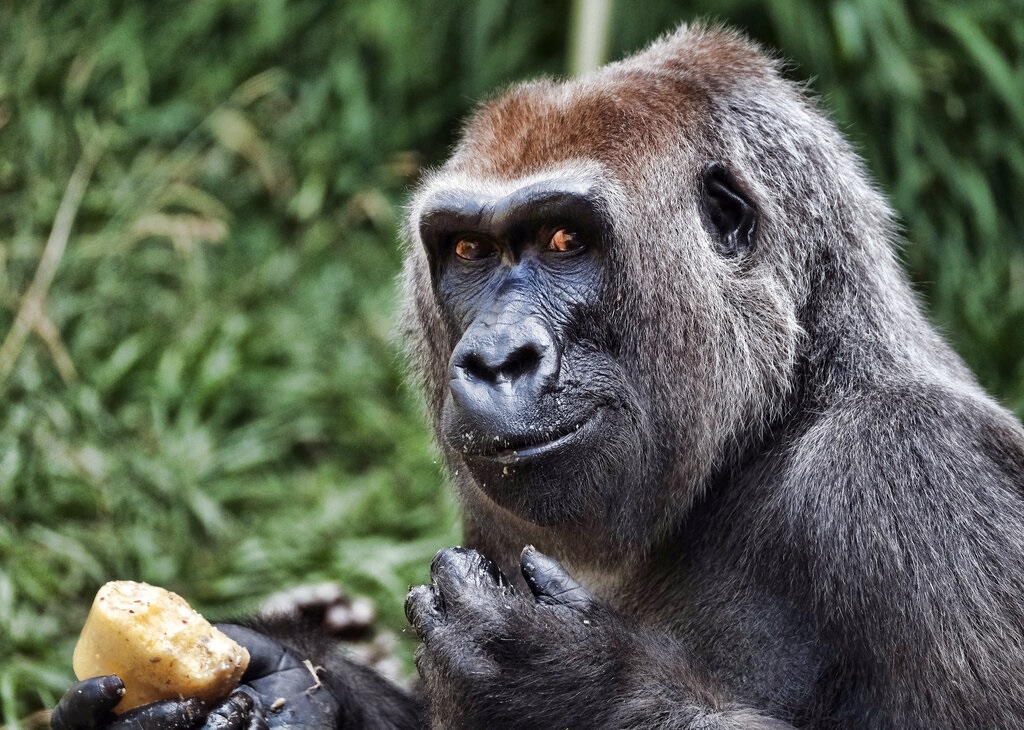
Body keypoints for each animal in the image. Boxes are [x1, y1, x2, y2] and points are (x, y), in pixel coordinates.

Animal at [54, 22, 1024, 728]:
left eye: (564, 240)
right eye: (468, 251)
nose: (493, 359)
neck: (786, 406)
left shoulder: (918, 473)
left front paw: (571, 681)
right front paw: (294, 673)